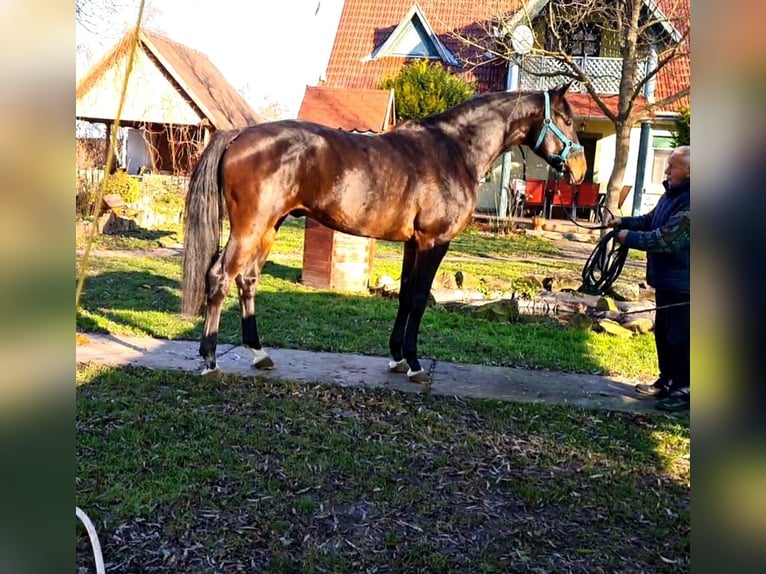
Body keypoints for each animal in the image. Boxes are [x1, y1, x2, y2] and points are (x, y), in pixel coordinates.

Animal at [180, 83, 588, 384]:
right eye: (567, 119)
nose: (581, 170)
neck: (454, 151)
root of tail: (239, 135)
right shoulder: (434, 242)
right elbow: (420, 299)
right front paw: (416, 364)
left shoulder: (413, 244)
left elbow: (405, 296)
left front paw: (397, 359)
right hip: (251, 228)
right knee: (220, 277)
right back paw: (210, 359)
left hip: (269, 227)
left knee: (247, 280)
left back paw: (259, 353)